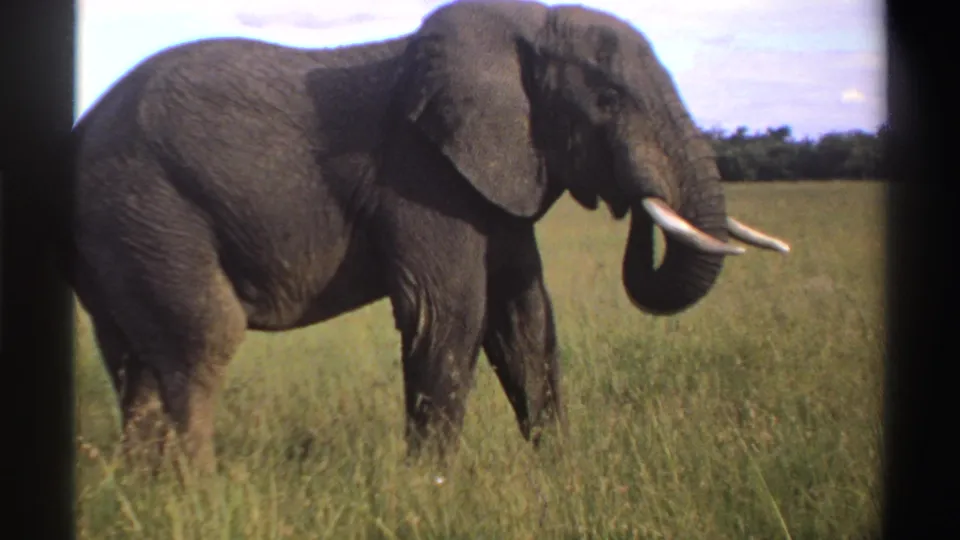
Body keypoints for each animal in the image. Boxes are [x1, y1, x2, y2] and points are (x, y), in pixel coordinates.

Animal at [68, 0, 790, 474]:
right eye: (608, 100)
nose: (636, 204)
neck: (521, 26)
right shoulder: (421, 173)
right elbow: (448, 313)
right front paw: (432, 490)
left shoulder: (494, 177)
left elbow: (525, 318)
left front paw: (559, 472)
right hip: (147, 205)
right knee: (200, 342)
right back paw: (198, 492)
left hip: (118, 231)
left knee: (133, 361)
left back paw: (146, 491)